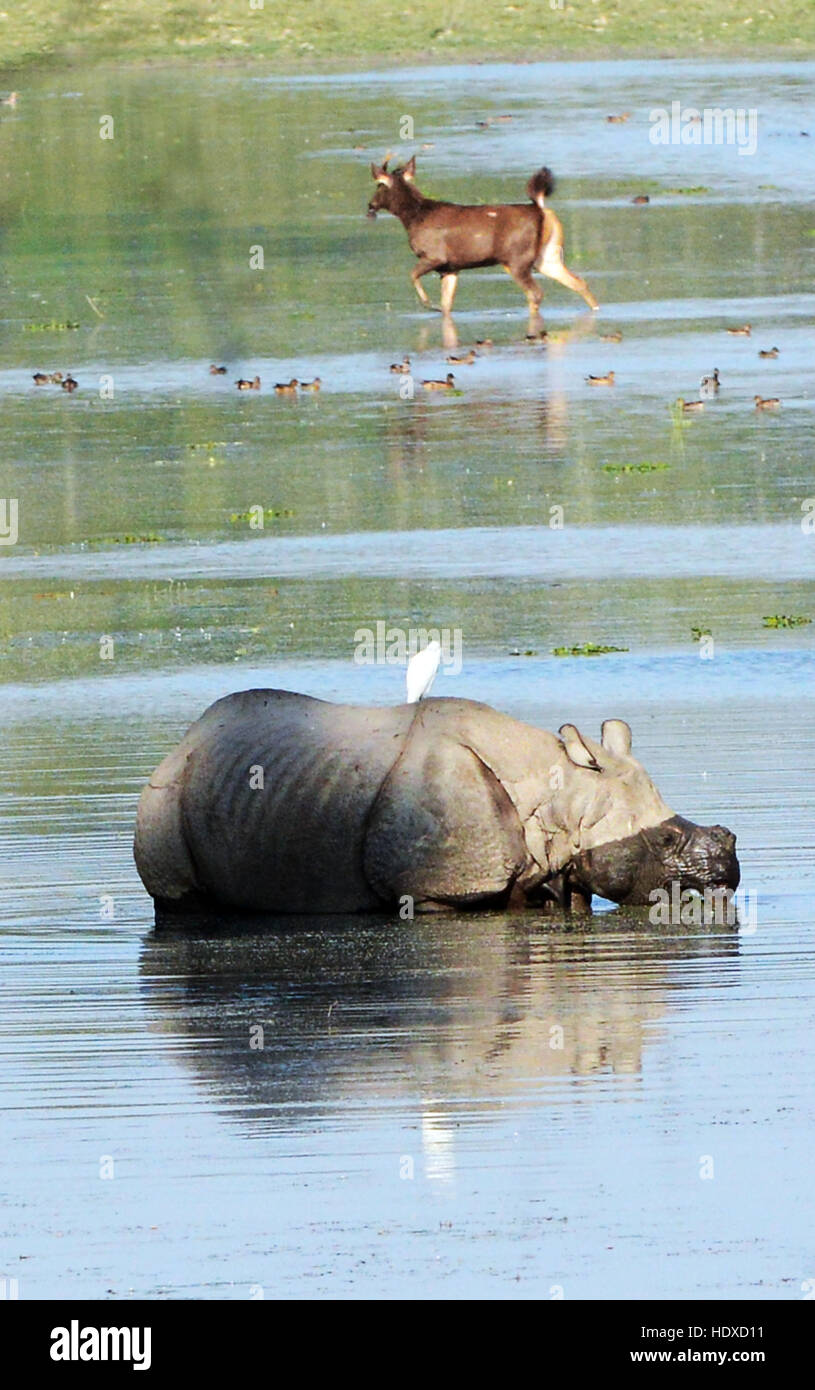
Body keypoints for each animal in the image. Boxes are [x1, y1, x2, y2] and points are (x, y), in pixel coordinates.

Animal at [367, 155, 595, 322]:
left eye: (379, 185)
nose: (370, 205)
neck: (412, 217)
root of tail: (540, 209)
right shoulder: (450, 268)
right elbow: (447, 305)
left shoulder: (435, 256)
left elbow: (413, 275)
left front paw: (429, 303)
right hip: (547, 256)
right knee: (578, 282)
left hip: (517, 259)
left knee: (535, 293)